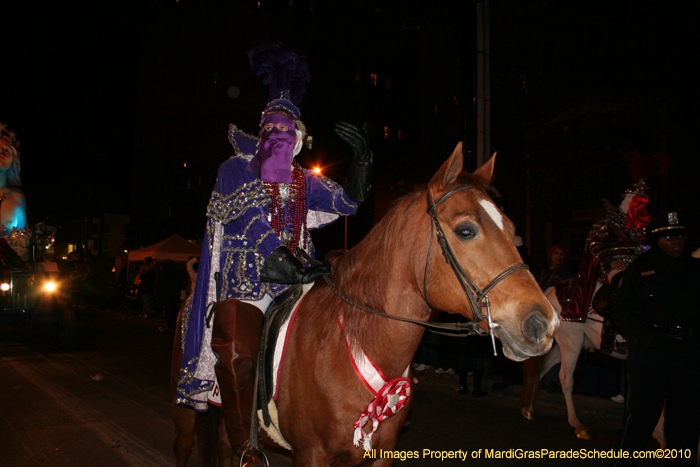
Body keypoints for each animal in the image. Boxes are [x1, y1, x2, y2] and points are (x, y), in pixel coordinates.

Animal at [174, 144, 556, 466]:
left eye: (510, 227)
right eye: (465, 230)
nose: (543, 323)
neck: (354, 340)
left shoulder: (380, 453)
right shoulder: (311, 454)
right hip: (191, 410)